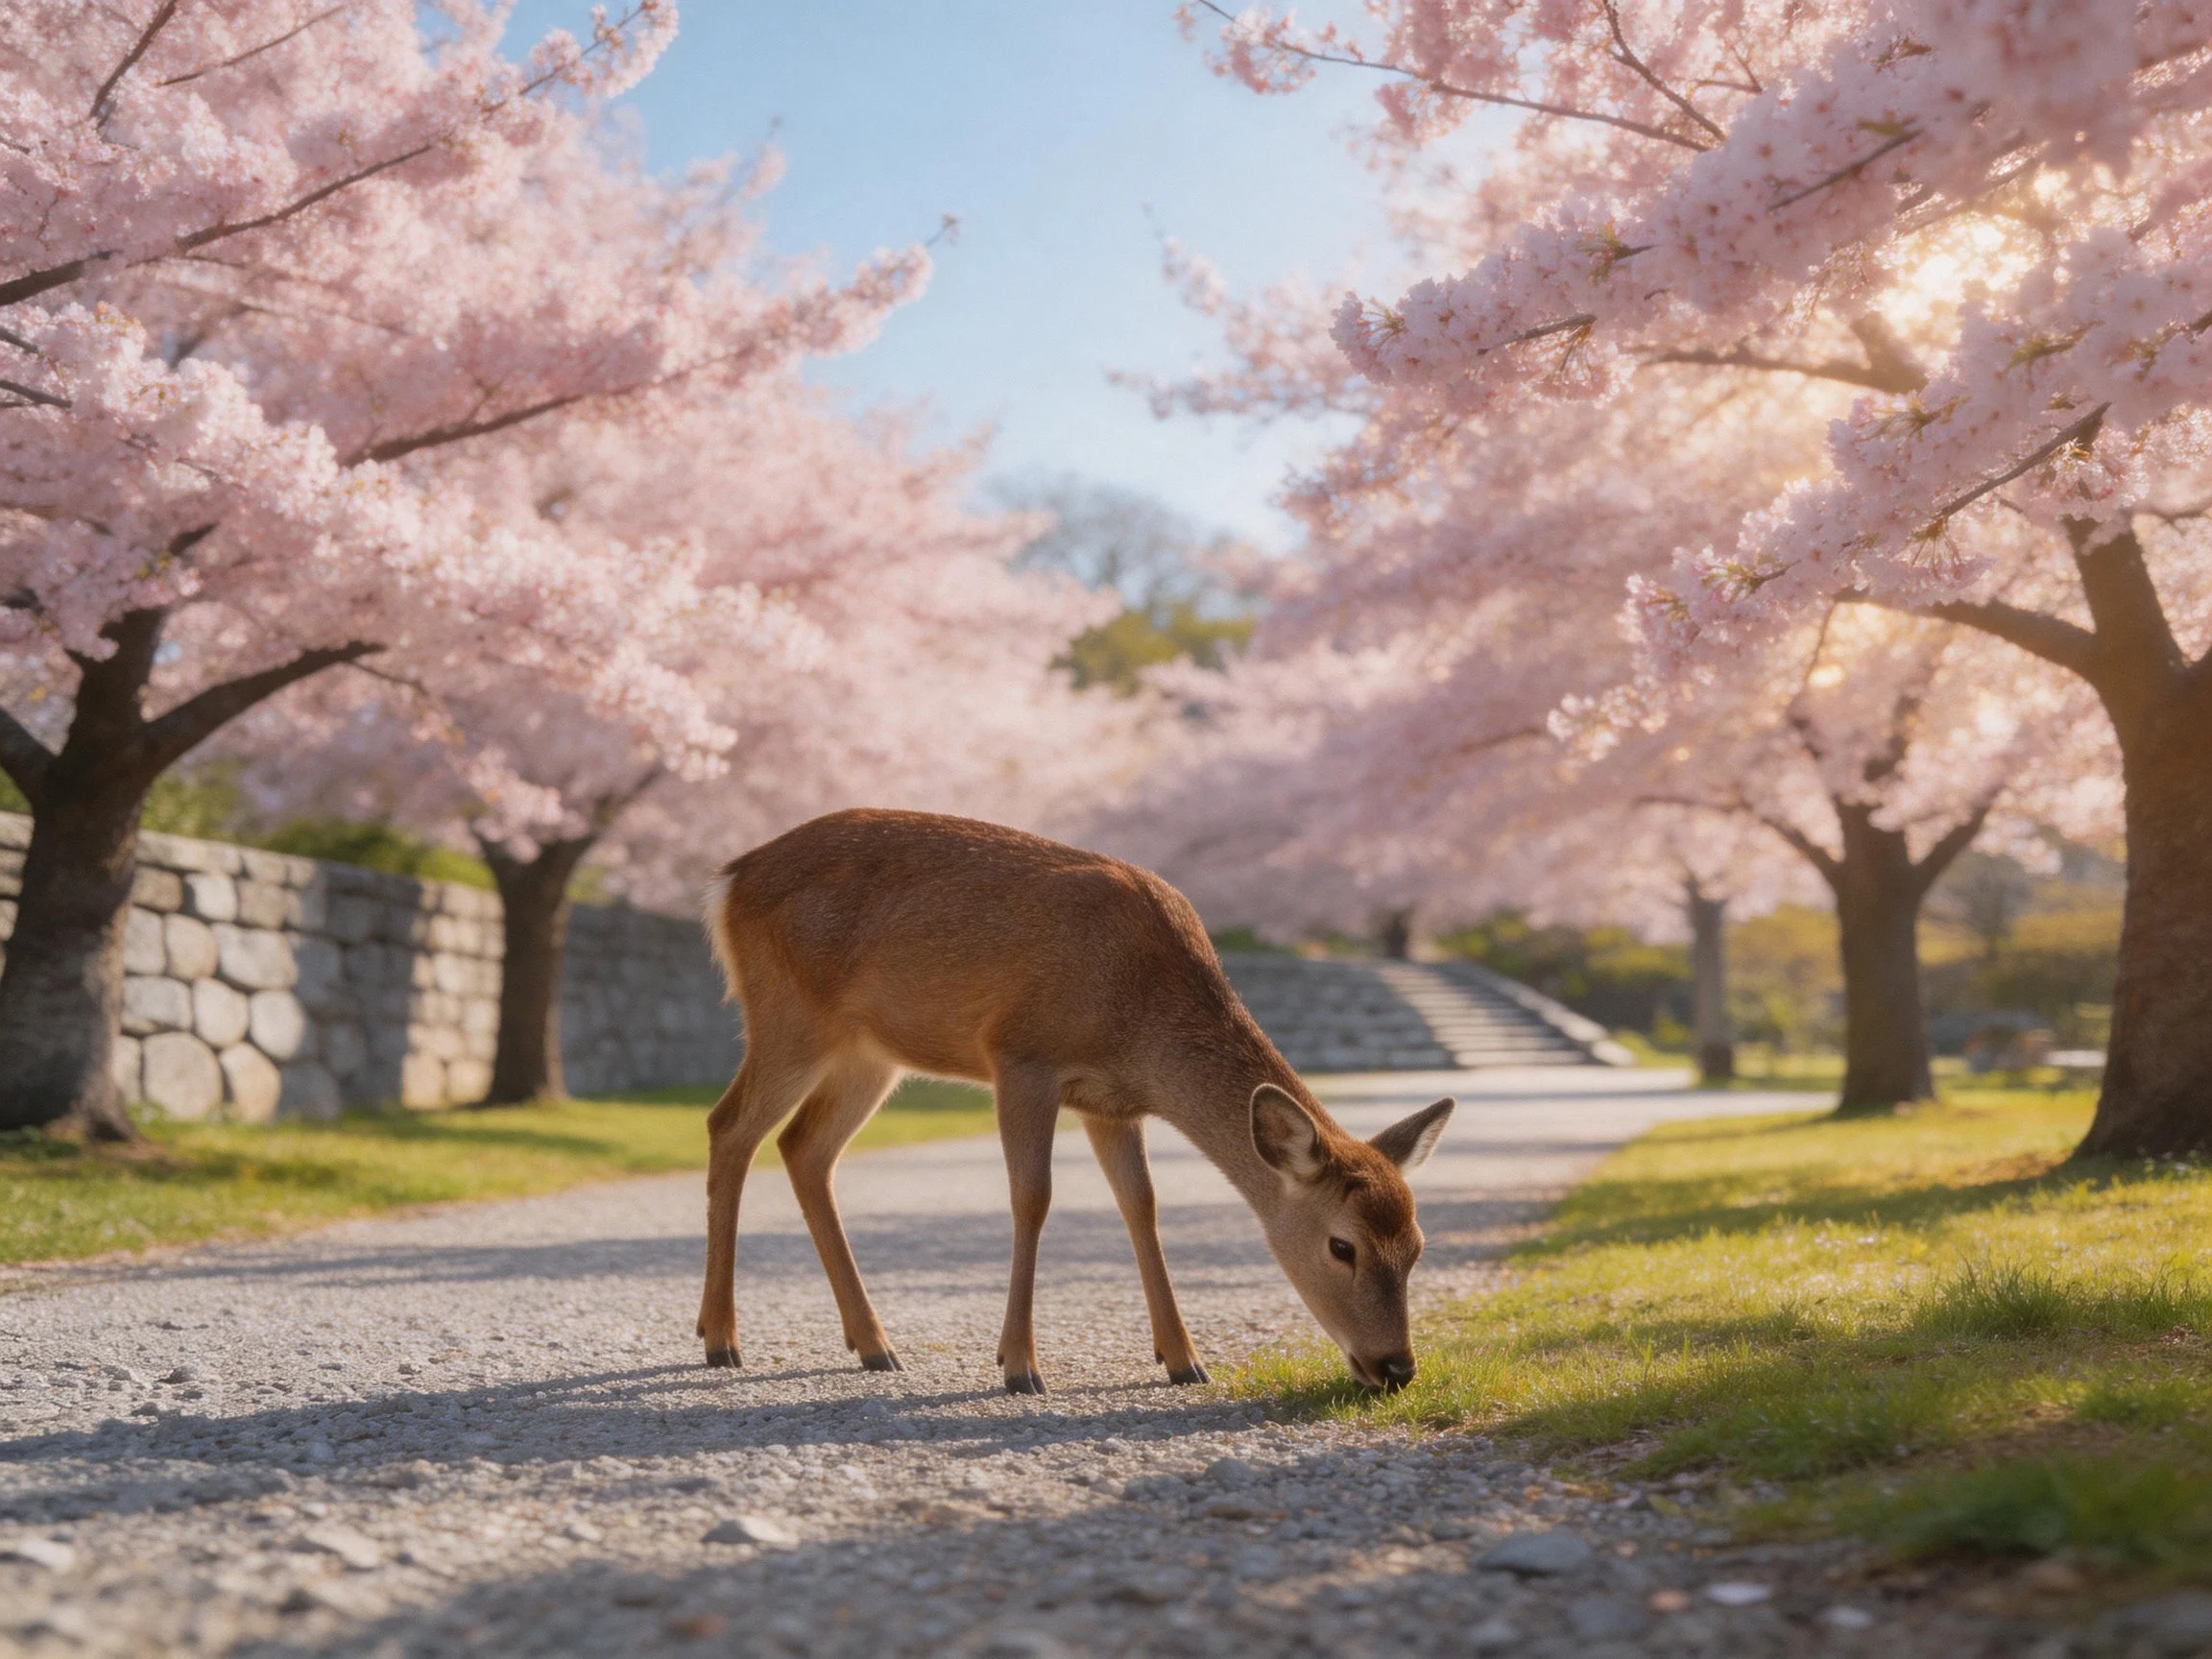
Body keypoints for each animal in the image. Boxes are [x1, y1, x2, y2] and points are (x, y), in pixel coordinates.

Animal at [695, 808, 1455, 1395]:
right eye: (1341, 1245)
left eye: (1418, 1245)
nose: (1397, 1368)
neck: (1141, 1022)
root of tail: (727, 879)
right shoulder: (1020, 1055)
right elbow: (1033, 1197)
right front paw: (1019, 1367)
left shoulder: (1110, 1104)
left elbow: (1141, 1206)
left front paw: (1183, 1360)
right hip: (788, 1015)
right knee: (729, 1126)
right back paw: (720, 1338)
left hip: (869, 1053)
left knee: (803, 1147)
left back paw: (873, 1344)